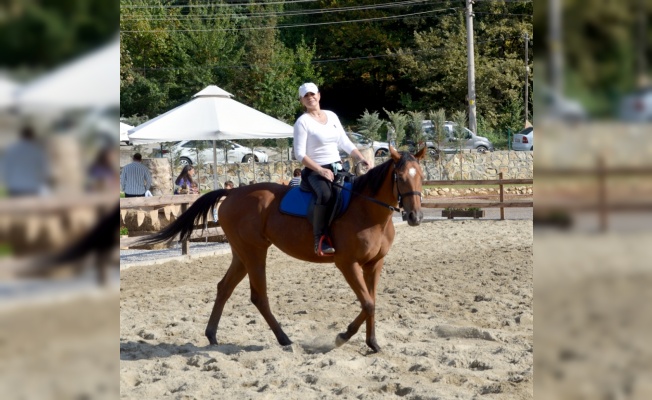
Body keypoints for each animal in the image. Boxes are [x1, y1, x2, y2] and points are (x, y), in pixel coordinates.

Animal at [140, 146, 426, 350]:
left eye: (421, 176)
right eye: (400, 177)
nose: (415, 217)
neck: (368, 211)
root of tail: (232, 193)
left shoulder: (374, 264)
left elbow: (372, 303)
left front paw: (372, 342)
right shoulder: (347, 264)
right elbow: (367, 303)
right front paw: (343, 336)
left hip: (241, 254)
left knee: (224, 288)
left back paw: (212, 335)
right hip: (255, 252)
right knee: (259, 296)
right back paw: (284, 339)